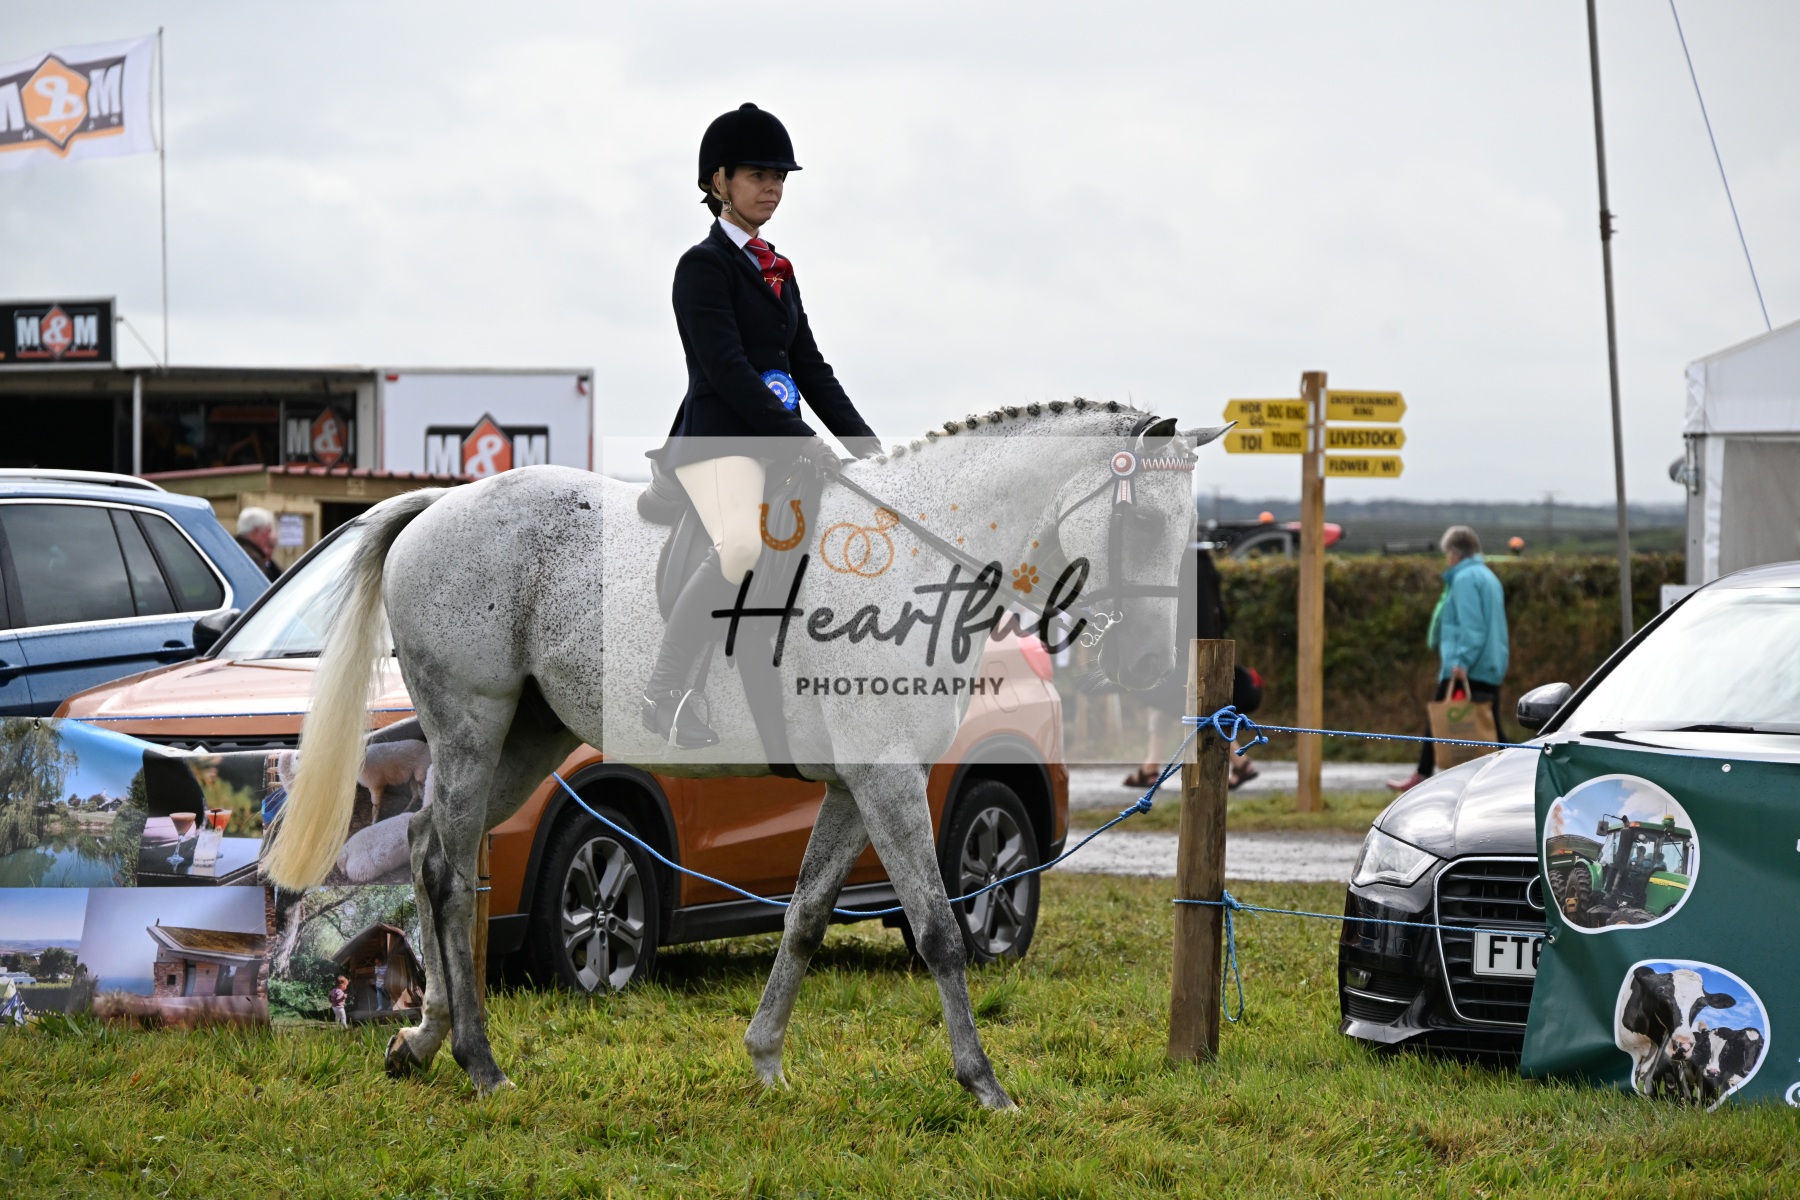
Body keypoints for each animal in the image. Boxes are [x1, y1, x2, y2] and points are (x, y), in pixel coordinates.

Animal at [263, 401, 1223, 1106]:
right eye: (1143, 525)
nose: (1148, 666)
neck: (913, 560)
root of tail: (440, 503)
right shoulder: (890, 780)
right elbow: (942, 930)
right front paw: (984, 1085)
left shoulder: (858, 785)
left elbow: (804, 916)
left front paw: (765, 1060)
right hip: (471, 722)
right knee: (448, 869)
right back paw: (478, 1061)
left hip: (527, 739)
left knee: (434, 844)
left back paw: (421, 1041)